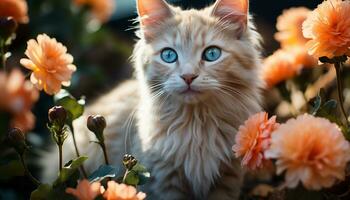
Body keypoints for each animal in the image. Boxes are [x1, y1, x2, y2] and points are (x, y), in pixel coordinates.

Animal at [41, 0, 262, 198]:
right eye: (169, 56)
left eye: (212, 53)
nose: (188, 76)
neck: (197, 125)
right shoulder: (163, 180)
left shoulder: (228, 176)